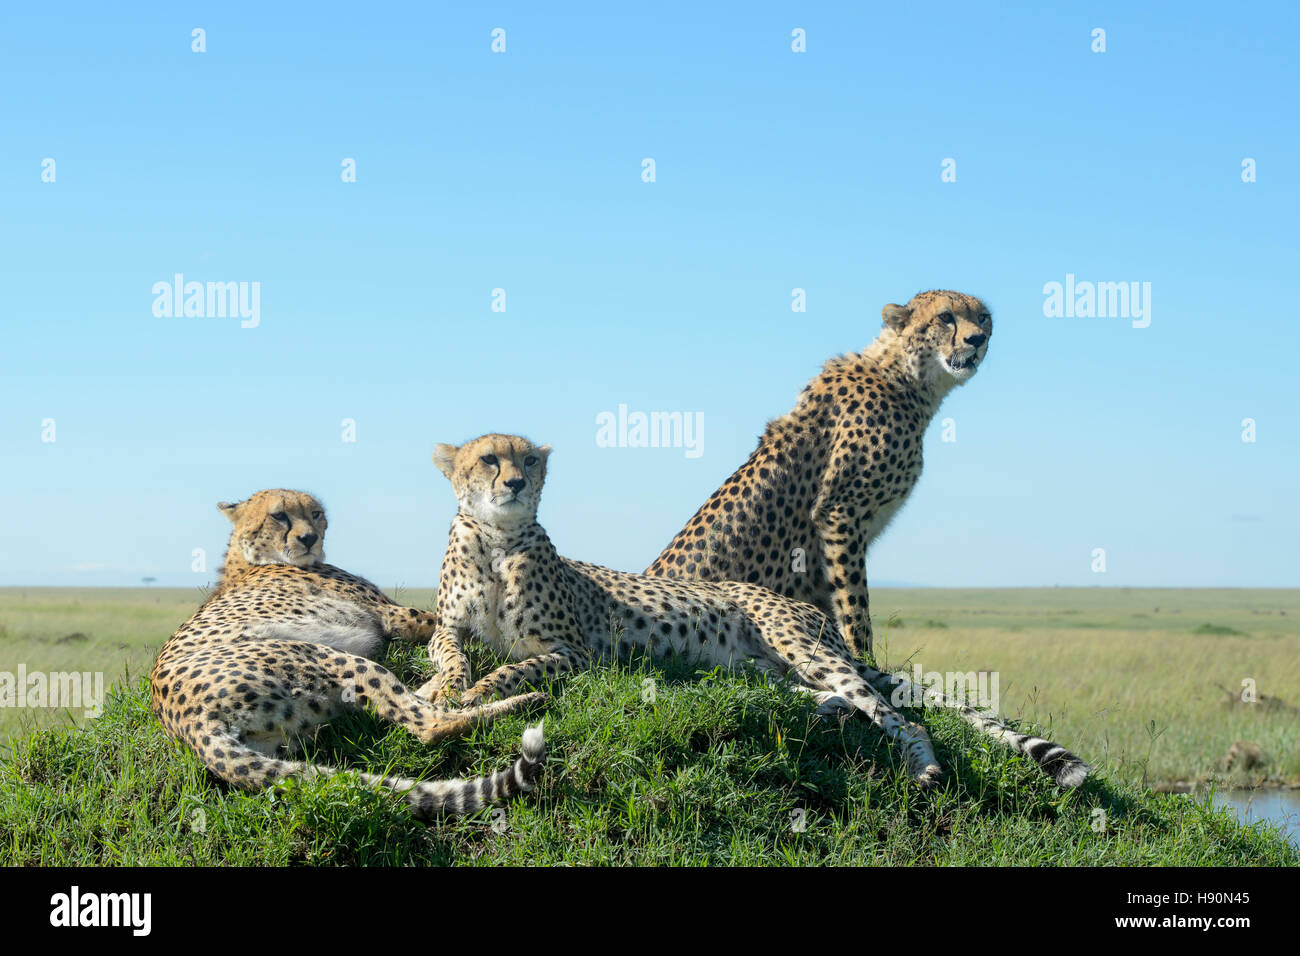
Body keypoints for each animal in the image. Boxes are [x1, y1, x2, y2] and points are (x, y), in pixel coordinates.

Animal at [149, 494, 546, 816]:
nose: (309, 538)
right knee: (431, 724)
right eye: (279, 516)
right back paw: (522, 700)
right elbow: (447, 625)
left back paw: (439, 687)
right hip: (322, 656)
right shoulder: (394, 615)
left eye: (316, 513)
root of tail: (185, 724)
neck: (248, 561)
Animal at [421, 437, 1092, 790]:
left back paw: (923, 766)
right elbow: (449, 652)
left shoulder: (574, 651)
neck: (496, 541)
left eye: (528, 460)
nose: (513, 483)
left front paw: (473, 691)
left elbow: (513, 668)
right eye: (488, 460)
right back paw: (826, 714)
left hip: (800, 645)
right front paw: (443, 686)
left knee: (891, 713)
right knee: (828, 697)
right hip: (757, 669)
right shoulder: (448, 627)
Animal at [644, 287, 987, 660]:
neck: (905, 378)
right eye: (945, 317)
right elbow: (853, 602)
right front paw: (863, 655)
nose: (978, 338)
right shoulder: (840, 512)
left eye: (984, 317)